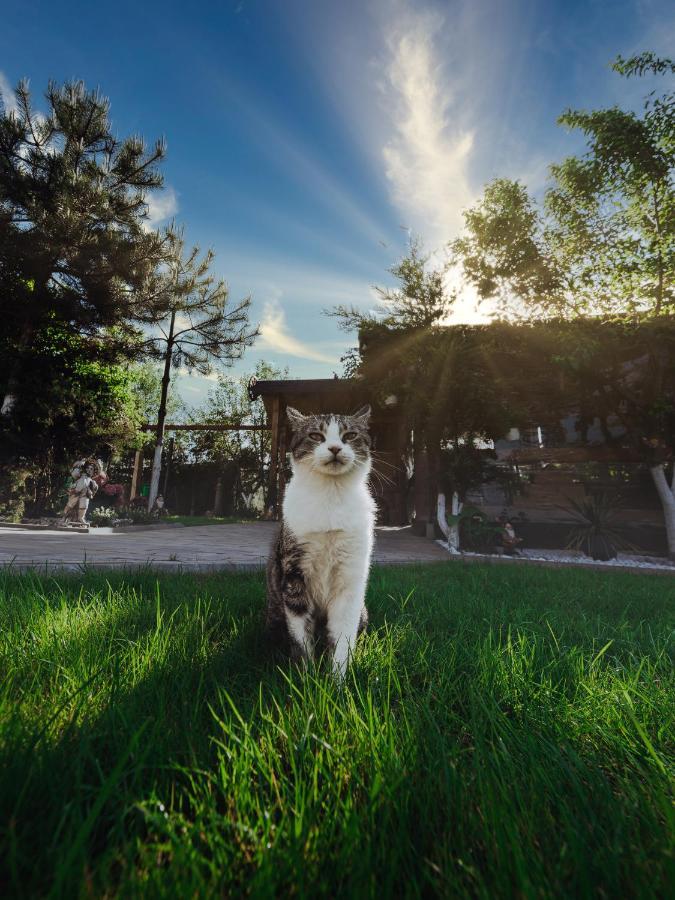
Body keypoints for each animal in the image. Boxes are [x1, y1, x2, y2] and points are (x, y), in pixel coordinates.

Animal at [266, 406, 378, 676]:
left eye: (350, 435)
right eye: (316, 435)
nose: (335, 448)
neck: (331, 494)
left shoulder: (350, 580)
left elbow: (343, 637)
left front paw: (337, 680)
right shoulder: (294, 575)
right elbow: (300, 638)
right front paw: (306, 678)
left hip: (363, 610)